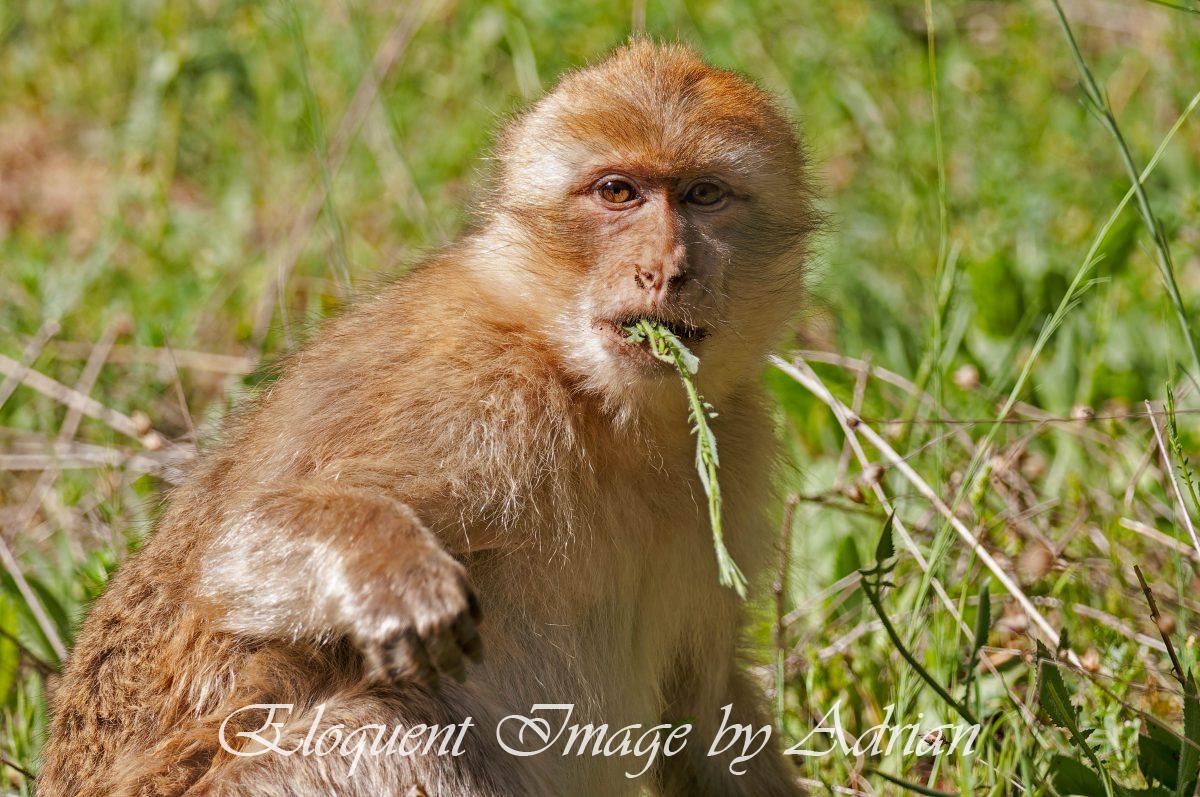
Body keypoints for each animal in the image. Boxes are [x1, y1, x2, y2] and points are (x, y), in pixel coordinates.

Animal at [37, 41, 817, 796]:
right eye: (617, 192)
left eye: (703, 195)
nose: (665, 268)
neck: (597, 396)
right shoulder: (479, 398)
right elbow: (236, 539)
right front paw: (396, 575)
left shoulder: (736, 439)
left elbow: (703, 711)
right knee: (390, 730)